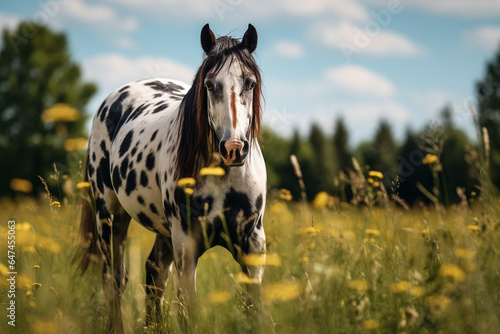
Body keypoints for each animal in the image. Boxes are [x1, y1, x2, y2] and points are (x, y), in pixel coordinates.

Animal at [81, 24, 270, 332]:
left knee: (154, 273)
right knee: (115, 281)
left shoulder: (253, 245)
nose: (233, 148)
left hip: (162, 232)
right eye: (209, 85)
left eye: (250, 83)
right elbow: (188, 309)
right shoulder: (186, 246)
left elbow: (255, 311)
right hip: (109, 216)